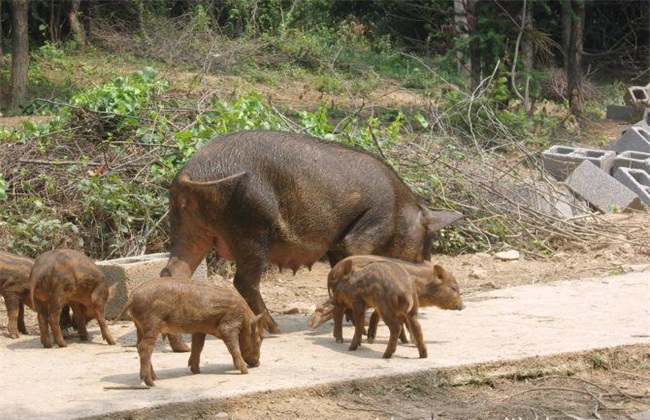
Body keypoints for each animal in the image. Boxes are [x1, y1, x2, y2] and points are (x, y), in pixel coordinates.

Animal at [119, 278, 264, 388]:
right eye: (259, 339)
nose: (257, 364)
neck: (244, 317)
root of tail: (132, 296)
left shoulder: (199, 330)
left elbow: (198, 347)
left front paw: (196, 371)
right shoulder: (229, 325)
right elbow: (233, 346)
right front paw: (245, 372)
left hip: (139, 326)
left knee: (139, 346)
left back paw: (154, 378)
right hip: (152, 324)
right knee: (144, 347)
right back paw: (151, 383)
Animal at [157, 130, 460, 334]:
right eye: (427, 242)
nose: (425, 265)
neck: (400, 211)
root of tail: (191, 171)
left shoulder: (338, 245)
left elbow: (342, 273)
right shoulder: (366, 231)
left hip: (187, 226)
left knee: (173, 272)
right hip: (252, 226)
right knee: (244, 282)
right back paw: (274, 329)